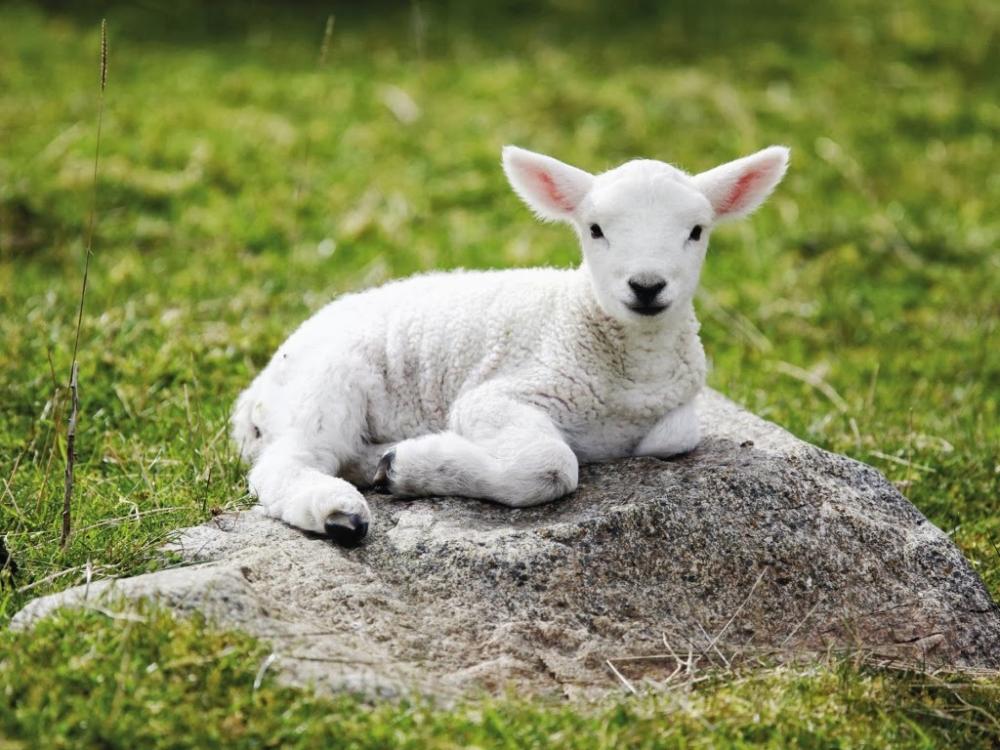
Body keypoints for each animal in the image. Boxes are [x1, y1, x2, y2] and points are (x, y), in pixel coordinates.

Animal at [232, 144, 789, 546]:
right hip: (326, 383)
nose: (647, 286)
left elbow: (675, 436)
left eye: (696, 231)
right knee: (288, 462)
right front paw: (413, 468)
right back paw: (338, 512)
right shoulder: (498, 395)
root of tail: (254, 392)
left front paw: (406, 463)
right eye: (595, 230)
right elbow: (551, 465)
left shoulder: (675, 411)